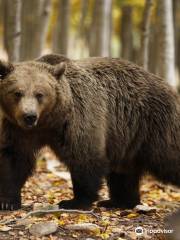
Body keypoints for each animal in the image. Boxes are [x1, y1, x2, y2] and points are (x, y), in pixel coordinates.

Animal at [0, 54, 180, 210]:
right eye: (17, 92)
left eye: (40, 94)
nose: (29, 116)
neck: (50, 120)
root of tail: (169, 87)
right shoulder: (18, 129)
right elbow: (14, 159)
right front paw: (8, 202)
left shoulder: (78, 119)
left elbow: (84, 157)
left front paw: (74, 201)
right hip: (126, 138)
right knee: (123, 172)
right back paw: (118, 202)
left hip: (153, 124)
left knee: (168, 157)